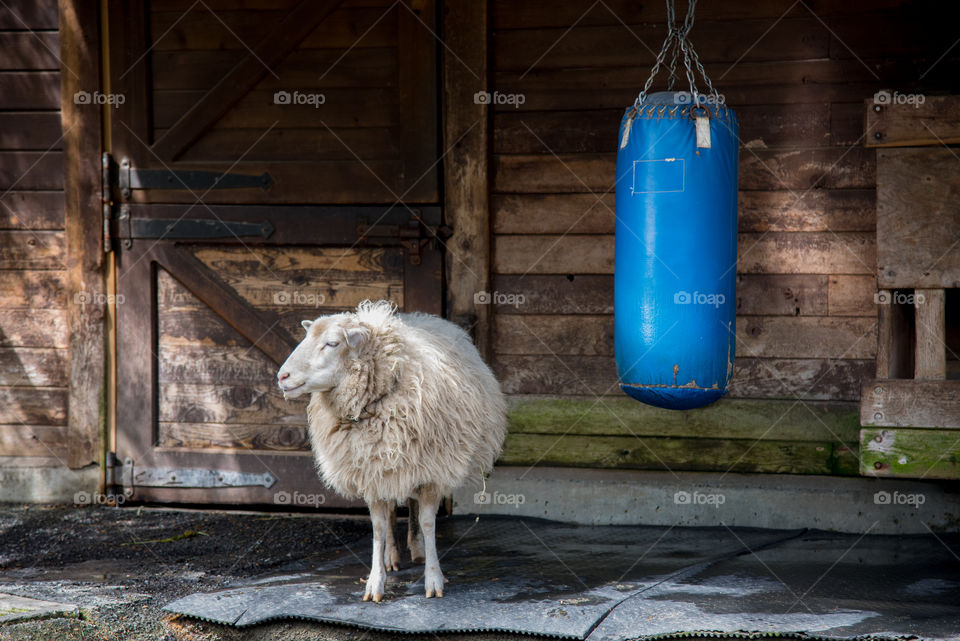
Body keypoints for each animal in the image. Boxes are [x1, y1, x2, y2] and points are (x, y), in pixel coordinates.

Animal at [277, 300, 507, 601]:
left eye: (332, 343)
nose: (282, 376)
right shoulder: (370, 470)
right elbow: (378, 528)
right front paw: (376, 581)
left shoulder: (432, 471)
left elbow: (427, 522)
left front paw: (434, 578)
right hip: (386, 467)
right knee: (389, 514)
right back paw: (391, 557)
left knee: (413, 507)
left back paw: (418, 551)